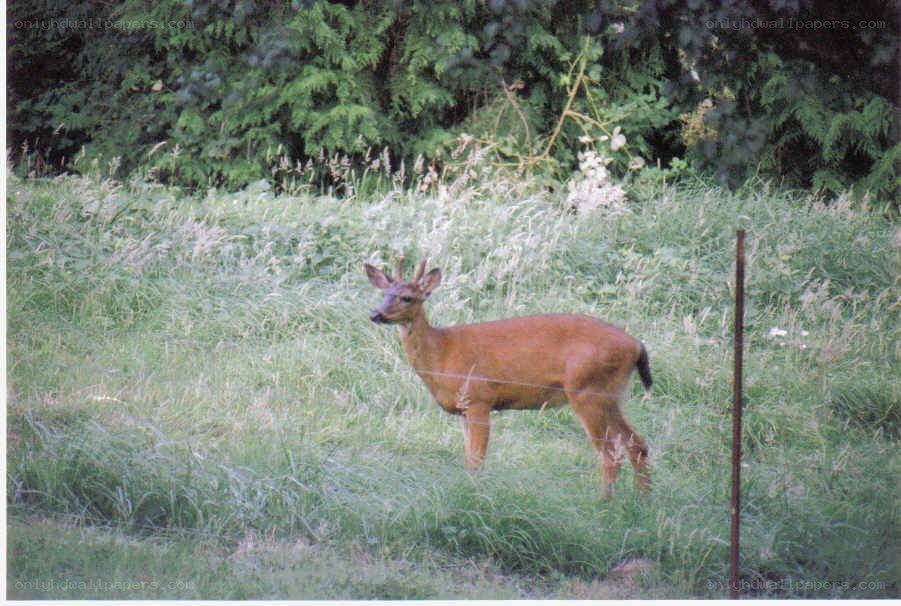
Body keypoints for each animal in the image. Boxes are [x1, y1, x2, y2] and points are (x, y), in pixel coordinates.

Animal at [364, 258, 653, 498]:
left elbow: (477, 460)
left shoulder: (479, 399)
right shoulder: (463, 409)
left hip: (587, 391)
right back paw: (642, 501)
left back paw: (603, 503)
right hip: (612, 395)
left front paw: (475, 495)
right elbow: (468, 458)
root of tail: (637, 345)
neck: (441, 354)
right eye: (384, 294)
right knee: (637, 444)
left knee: (611, 454)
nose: (375, 314)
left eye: (407, 297)